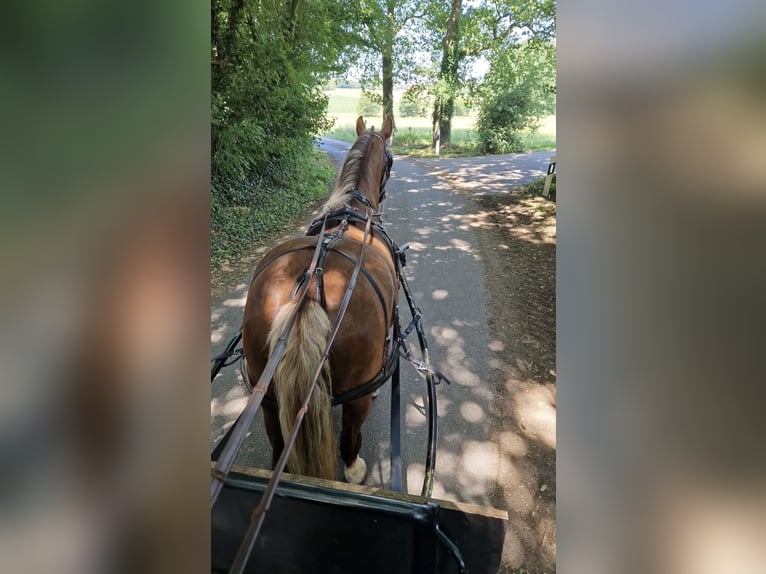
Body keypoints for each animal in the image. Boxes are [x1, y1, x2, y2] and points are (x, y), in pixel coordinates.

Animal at [241, 115, 397, 484]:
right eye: (390, 160)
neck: (351, 210)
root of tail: (310, 286)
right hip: (356, 397)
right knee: (350, 438)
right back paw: (355, 468)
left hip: (266, 393)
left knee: (276, 443)